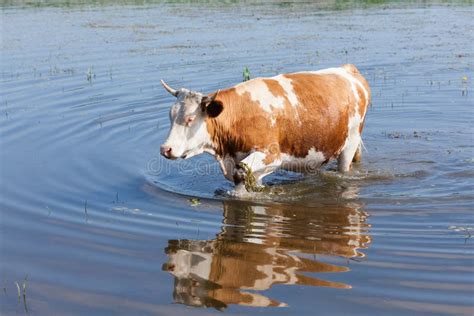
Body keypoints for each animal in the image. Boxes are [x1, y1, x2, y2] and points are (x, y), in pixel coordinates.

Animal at [161, 63, 372, 193]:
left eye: (190, 119)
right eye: (170, 116)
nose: (165, 149)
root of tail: (347, 70)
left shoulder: (271, 154)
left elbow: (240, 173)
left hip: (350, 143)